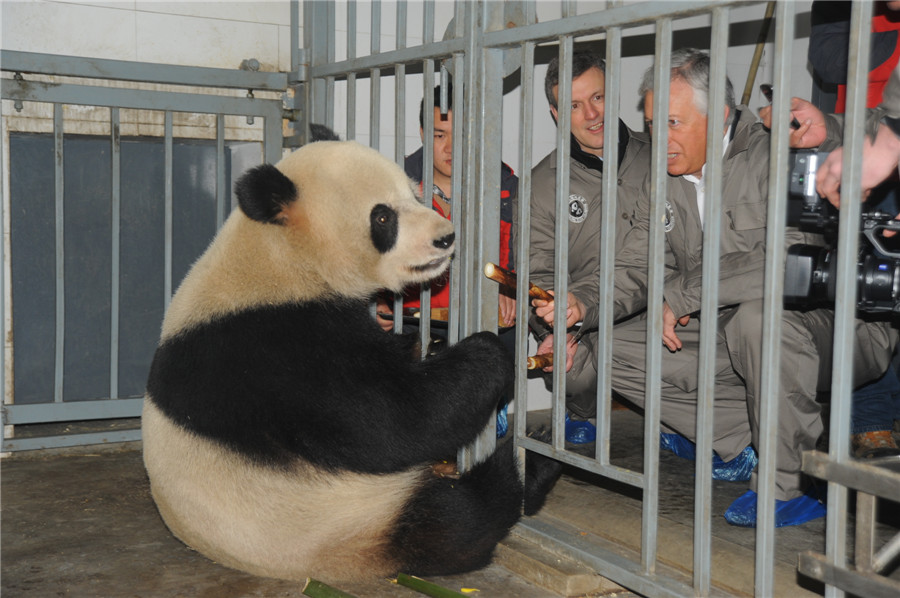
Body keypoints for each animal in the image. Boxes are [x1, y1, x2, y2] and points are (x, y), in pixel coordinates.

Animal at [141, 137, 560, 584]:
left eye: (414, 194)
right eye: (383, 217)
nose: (446, 238)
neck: (280, 255)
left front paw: (422, 345)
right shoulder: (274, 351)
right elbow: (391, 420)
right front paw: (487, 352)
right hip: (345, 518)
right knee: (454, 519)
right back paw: (529, 468)